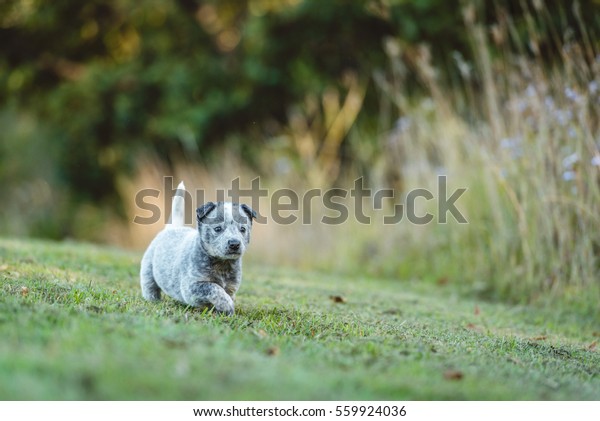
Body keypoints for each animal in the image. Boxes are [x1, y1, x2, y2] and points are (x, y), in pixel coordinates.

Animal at [142, 182, 256, 314]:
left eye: (242, 229)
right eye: (218, 228)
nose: (234, 244)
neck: (222, 265)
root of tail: (172, 228)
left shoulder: (231, 287)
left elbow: (225, 294)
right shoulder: (191, 287)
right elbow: (214, 288)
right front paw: (227, 306)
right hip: (148, 270)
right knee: (150, 288)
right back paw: (154, 300)